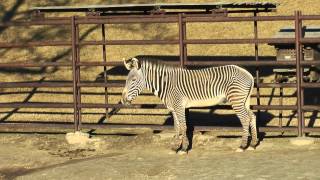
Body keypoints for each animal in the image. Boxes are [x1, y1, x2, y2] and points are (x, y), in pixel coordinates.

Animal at [121, 57, 258, 153]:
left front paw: (184, 148)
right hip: (244, 100)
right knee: (252, 116)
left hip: (236, 100)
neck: (166, 85)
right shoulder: (173, 109)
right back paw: (253, 144)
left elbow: (183, 127)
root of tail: (248, 74)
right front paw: (175, 147)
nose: (122, 100)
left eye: (133, 80)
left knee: (245, 119)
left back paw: (242, 146)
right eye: (126, 80)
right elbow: (176, 128)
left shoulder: (179, 106)